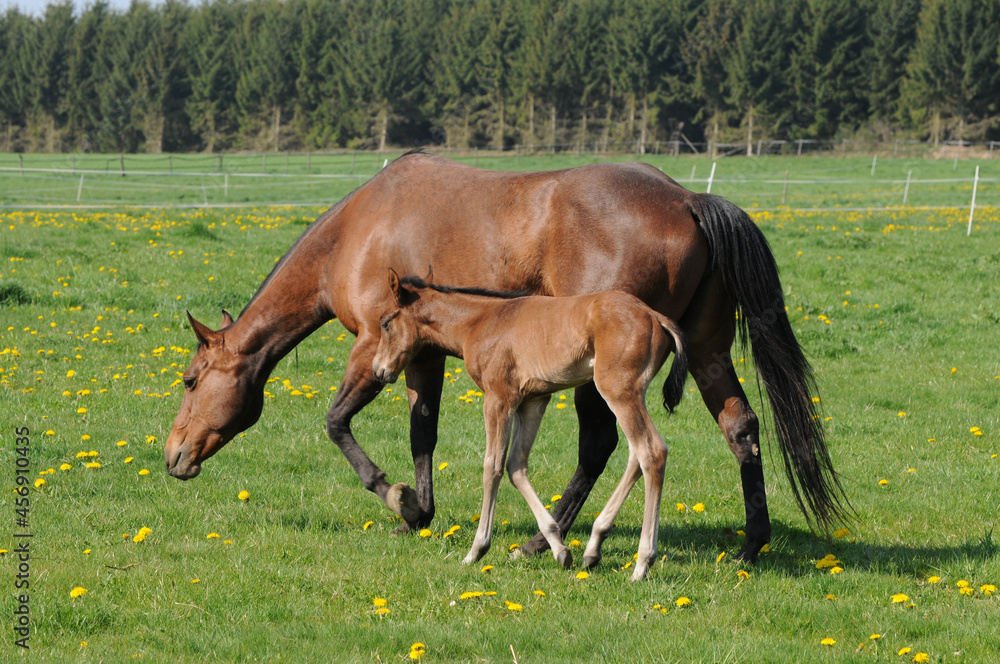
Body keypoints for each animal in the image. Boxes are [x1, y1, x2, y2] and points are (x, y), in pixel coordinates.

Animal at [371, 269, 690, 580]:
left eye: (385, 323)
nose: (378, 370)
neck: (482, 323)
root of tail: (656, 317)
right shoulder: (533, 401)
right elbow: (516, 466)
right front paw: (560, 549)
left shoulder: (498, 399)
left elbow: (492, 467)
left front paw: (476, 550)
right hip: (632, 394)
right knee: (636, 456)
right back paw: (594, 546)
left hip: (618, 390)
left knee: (652, 451)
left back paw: (642, 563)